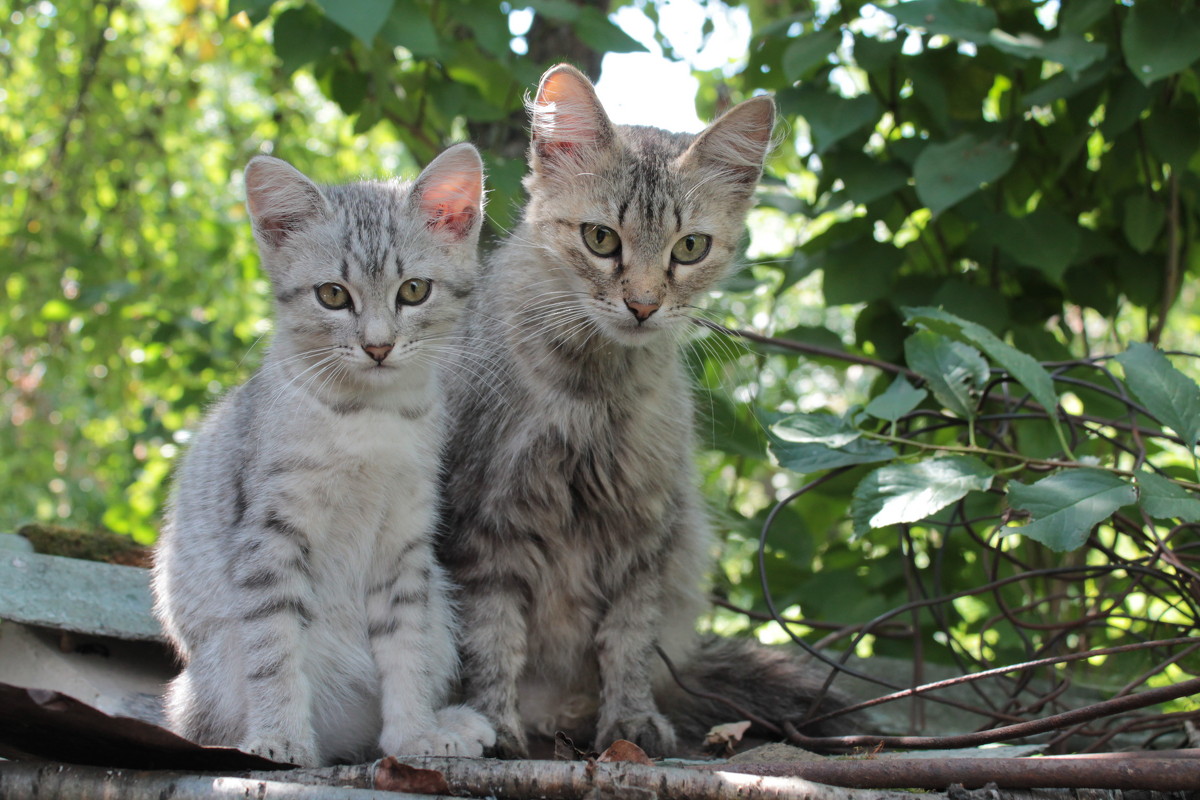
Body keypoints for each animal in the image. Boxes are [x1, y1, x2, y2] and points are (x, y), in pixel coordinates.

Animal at [153, 145, 492, 767]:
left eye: (414, 290)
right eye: (332, 294)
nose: (378, 346)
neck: (371, 417)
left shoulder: (403, 543)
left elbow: (405, 649)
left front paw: (414, 736)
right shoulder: (270, 536)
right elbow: (275, 649)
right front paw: (281, 738)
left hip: (439, 608)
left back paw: (449, 724)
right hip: (211, 671)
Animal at [439, 65, 844, 762]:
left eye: (691, 247)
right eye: (601, 239)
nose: (644, 305)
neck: (590, 396)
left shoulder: (644, 529)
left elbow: (626, 645)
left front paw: (629, 725)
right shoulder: (485, 522)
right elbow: (493, 642)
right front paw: (494, 726)